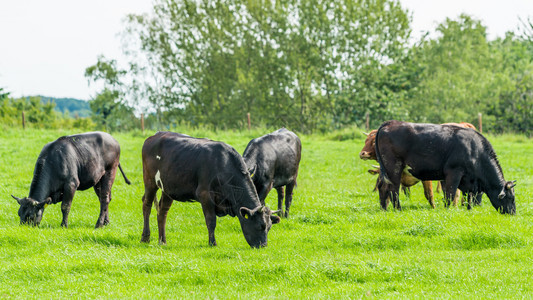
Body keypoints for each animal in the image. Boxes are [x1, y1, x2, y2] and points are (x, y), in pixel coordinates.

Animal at [374, 120, 516, 214]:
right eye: (510, 198)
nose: (513, 213)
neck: (474, 149)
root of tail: (390, 123)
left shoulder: (468, 180)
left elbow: (468, 197)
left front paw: (469, 210)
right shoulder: (454, 172)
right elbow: (450, 194)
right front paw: (447, 210)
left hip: (386, 171)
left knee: (383, 187)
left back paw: (384, 209)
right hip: (394, 168)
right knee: (394, 189)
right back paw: (398, 209)